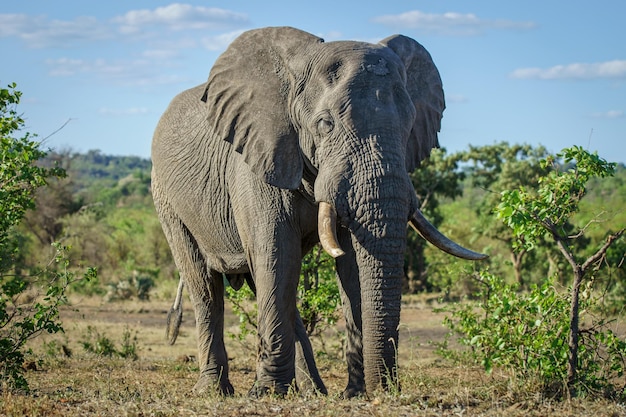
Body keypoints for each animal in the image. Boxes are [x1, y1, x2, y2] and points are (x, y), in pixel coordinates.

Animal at [150, 26, 482, 396]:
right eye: (325, 124)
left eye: (410, 125)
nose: (385, 389)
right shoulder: (257, 161)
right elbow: (277, 255)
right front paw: (267, 393)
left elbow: (351, 265)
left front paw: (354, 394)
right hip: (166, 197)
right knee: (206, 285)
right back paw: (215, 390)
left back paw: (312, 390)